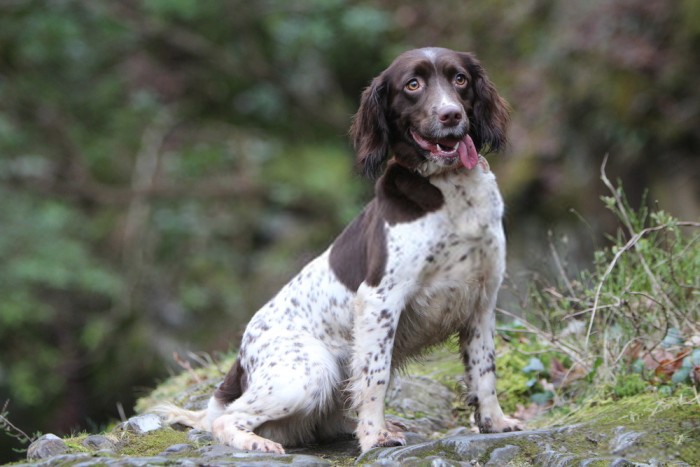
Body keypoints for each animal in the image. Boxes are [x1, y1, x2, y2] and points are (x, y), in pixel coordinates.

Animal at [154, 46, 524, 454]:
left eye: (460, 79)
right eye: (413, 85)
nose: (451, 115)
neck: (452, 191)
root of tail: (240, 361)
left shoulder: (482, 300)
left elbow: (484, 371)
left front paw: (495, 423)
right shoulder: (380, 299)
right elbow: (376, 377)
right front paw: (375, 436)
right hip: (310, 371)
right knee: (227, 419)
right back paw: (257, 443)